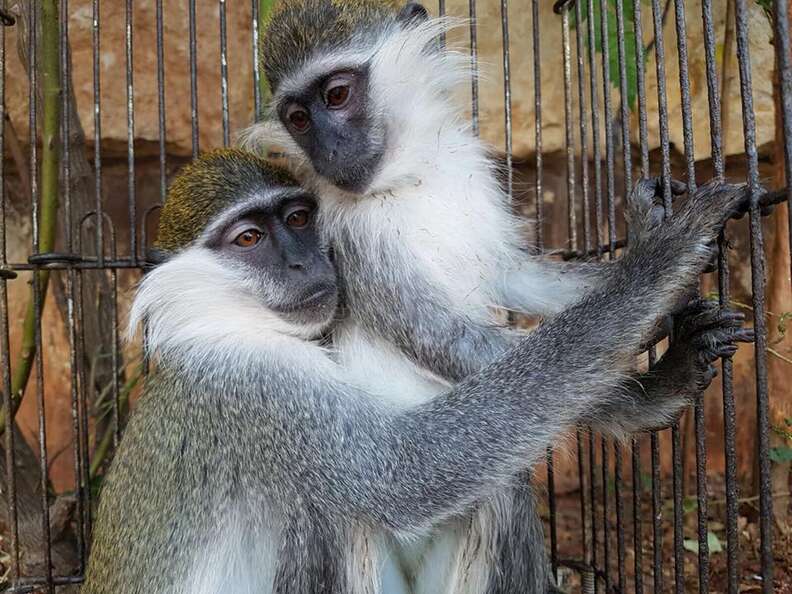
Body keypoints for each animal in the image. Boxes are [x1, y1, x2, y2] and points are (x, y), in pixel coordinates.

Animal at [81, 148, 751, 594]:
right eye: (248, 239)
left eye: (297, 219)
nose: (305, 261)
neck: (221, 319)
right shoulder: (259, 384)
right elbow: (405, 473)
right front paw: (655, 260)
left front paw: (663, 373)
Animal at [240, 2, 755, 591]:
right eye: (297, 119)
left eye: (337, 95)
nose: (326, 149)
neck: (412, 179)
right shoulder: (348, 237)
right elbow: (445, 339)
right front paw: (651, 387)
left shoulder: (472, 173)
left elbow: (514, 275)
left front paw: (650, 274)